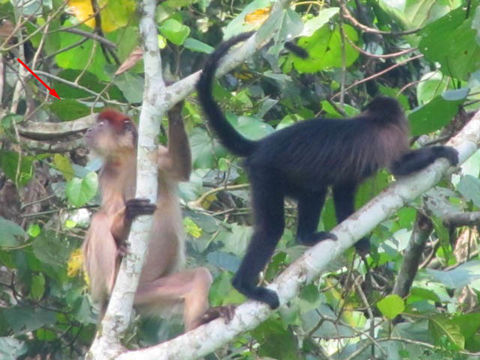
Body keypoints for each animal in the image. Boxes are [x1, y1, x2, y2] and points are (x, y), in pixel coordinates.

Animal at [82, 102, 234, 332]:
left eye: (101, 125)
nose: (89, 130)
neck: (126, 158)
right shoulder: (107, 174)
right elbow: (112, 214)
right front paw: (129, 213)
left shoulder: (154, 154)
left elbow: (179, 169)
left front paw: (175, 112)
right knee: (100, 219)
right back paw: (114, 275)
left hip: (147, 293)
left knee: (199, 276)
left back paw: (200, 322)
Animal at [194, 31, 458, 310]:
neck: (374, 120)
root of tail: (262, 145)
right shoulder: (387, 137)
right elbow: (399, 166)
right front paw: (440, 152)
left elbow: (344, 191)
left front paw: (360, 241)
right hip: (265, 173)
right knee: (275, 224)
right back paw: (250, 282)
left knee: (312, 191)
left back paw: (303, 237)